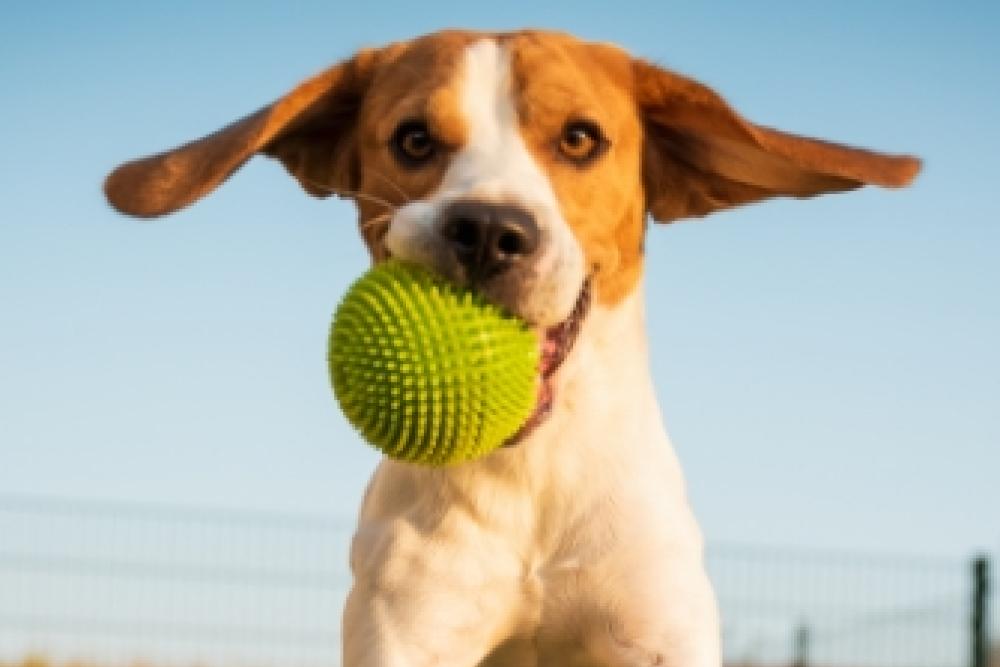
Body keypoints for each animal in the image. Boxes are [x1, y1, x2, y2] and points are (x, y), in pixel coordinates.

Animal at [105, 30, 916, 667]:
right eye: (413, 140)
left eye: (581, 138)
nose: (489, 230)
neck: (533, 475)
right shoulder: (407, 625)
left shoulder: (654, 626)